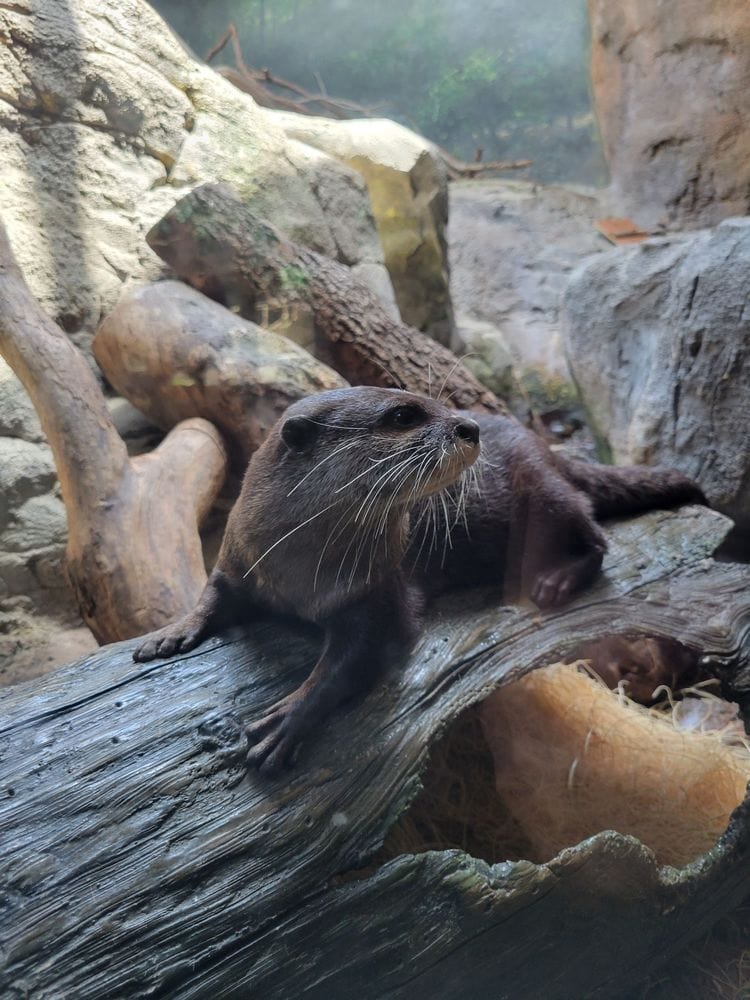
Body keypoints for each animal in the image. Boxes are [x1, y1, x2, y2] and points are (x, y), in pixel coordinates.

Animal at [133, 387, 705, 775]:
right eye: (403, 415)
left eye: (435, 403)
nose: (468, 426)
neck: (300, 570)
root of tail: (544, 444)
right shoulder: (239, 554)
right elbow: (212, 593)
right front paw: (169, 633)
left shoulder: (377, 591)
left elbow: (350, 662)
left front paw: (288, 718)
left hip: (541, 491)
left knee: (592, 531)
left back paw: (557, 581)